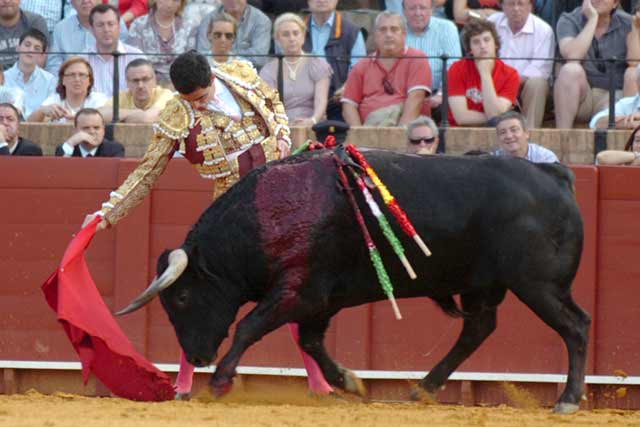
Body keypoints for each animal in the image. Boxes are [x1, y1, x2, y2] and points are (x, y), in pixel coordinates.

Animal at [116, 150, 592, 414]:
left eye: (181, 297)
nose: (197, 356)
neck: (266, 214)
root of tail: (555, 175)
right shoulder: (320, 300)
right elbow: (310, 342)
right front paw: (348, 382)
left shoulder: (299, 290)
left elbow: (249, 326)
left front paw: (221, 381)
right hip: (483, 286)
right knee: (478, 329)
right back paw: (422, 389)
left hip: (539, 285)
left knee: (576, 326)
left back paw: (567, 399)